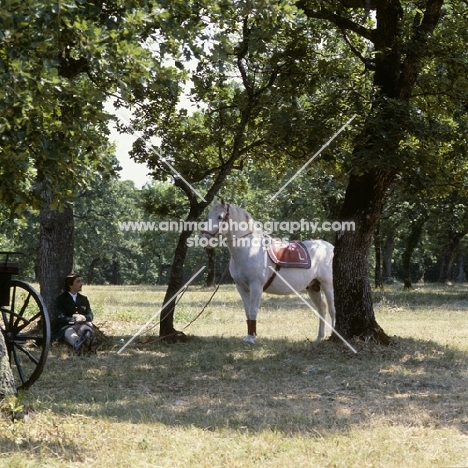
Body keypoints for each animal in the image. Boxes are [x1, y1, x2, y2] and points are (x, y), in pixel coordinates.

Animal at [201, 199, 336, 346]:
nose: (204, 239)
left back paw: (333, 335)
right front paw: (248, 336)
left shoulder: (256, 286)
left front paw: (251, 338)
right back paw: (319, 337)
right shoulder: (241, 288)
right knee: (322, 308)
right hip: (313, 287)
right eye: (208, 216)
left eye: (220, 217)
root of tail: (331, 247)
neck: (249, 250)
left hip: (328, 285)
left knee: (332, 309)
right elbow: (247, 312)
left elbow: (253, 311)